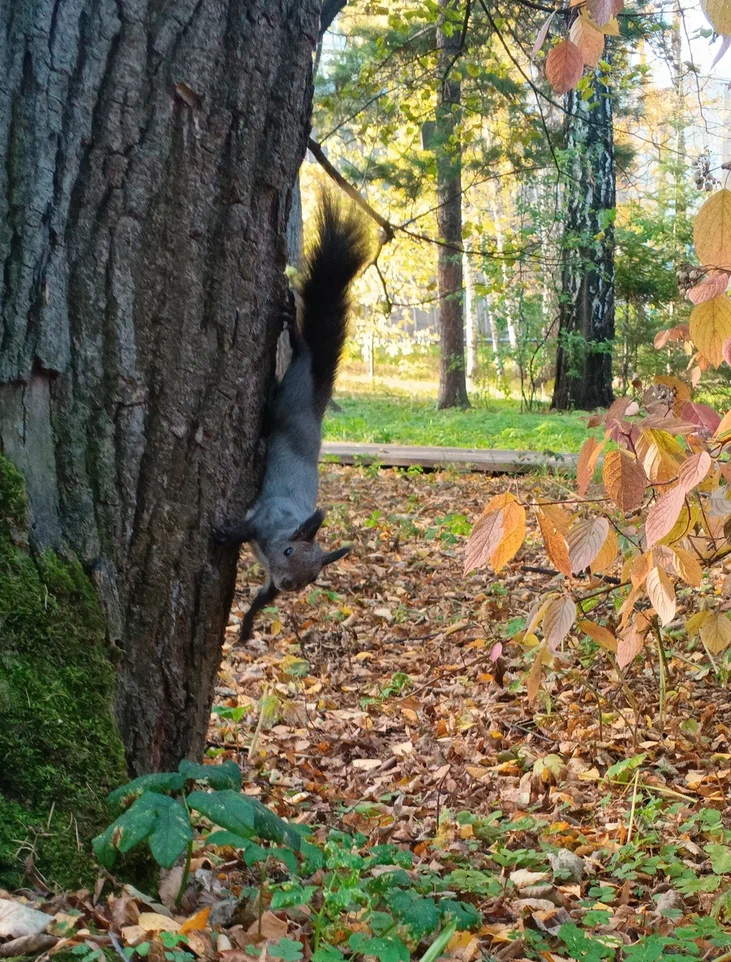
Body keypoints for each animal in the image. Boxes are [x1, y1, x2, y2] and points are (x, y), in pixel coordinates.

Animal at [212, 189, 372, 636]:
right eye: (287, 551)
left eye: (313, 577)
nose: (288, 585)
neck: (286, 528)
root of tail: (316, 401)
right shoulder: (264, 520)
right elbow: (244, 527)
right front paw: (224, 535)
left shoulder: (270, 578)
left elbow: (261, 598)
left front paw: (248, 625)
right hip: (289, 395)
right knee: (299, 351)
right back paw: (291, 333)